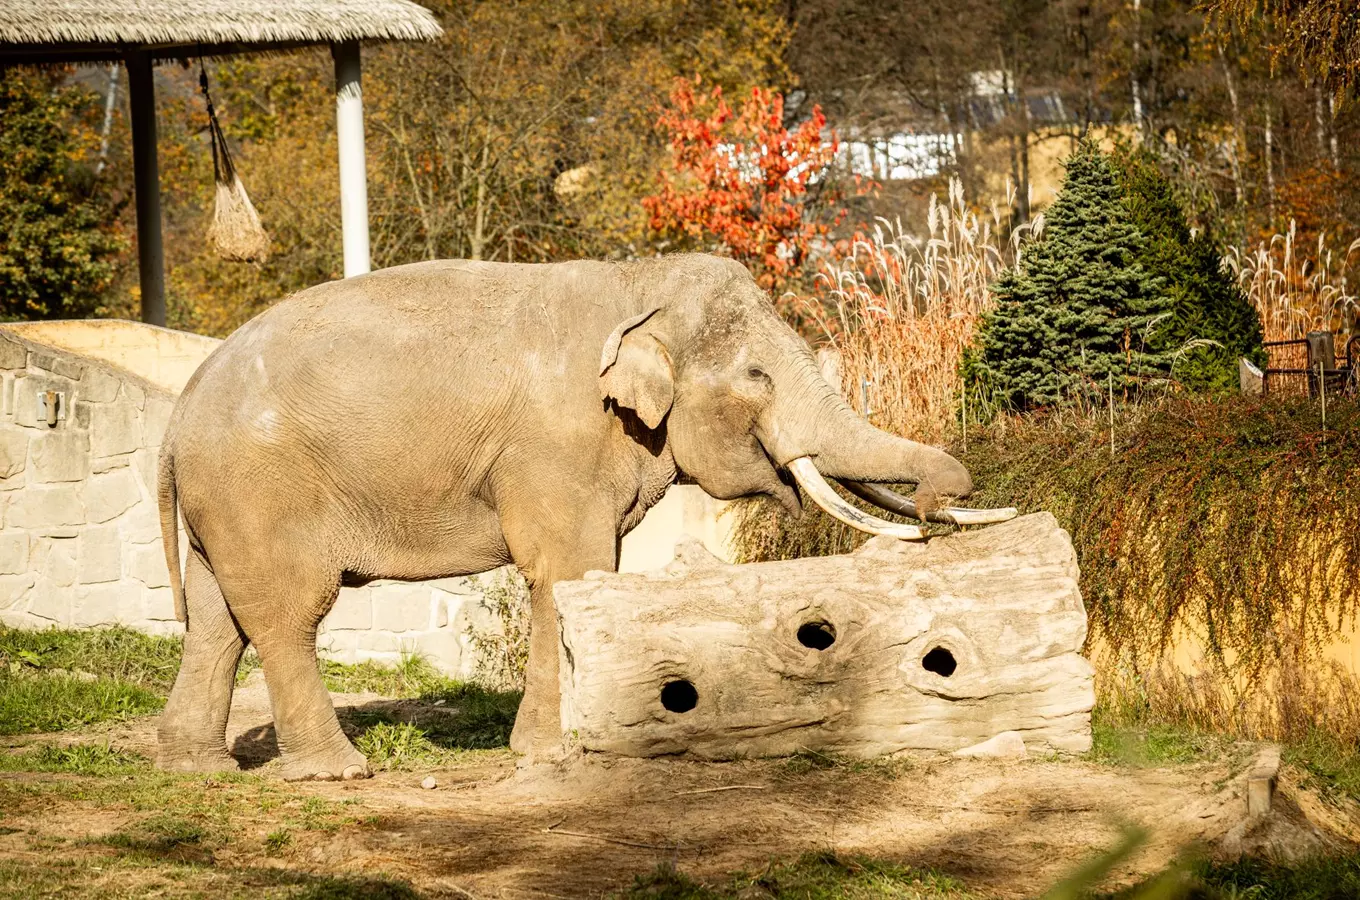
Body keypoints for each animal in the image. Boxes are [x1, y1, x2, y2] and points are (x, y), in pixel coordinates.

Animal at [154, 254, 1000, 783]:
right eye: (758, 375)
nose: (938, 509)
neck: (638, 282)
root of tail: (179, 410)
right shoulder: (554, 447)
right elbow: (571, 569)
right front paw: (554, 756)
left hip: (224, 504)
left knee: (217, 619)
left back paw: (196, 767)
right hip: (261, 491)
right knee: (285, 616)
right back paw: (337, 771)